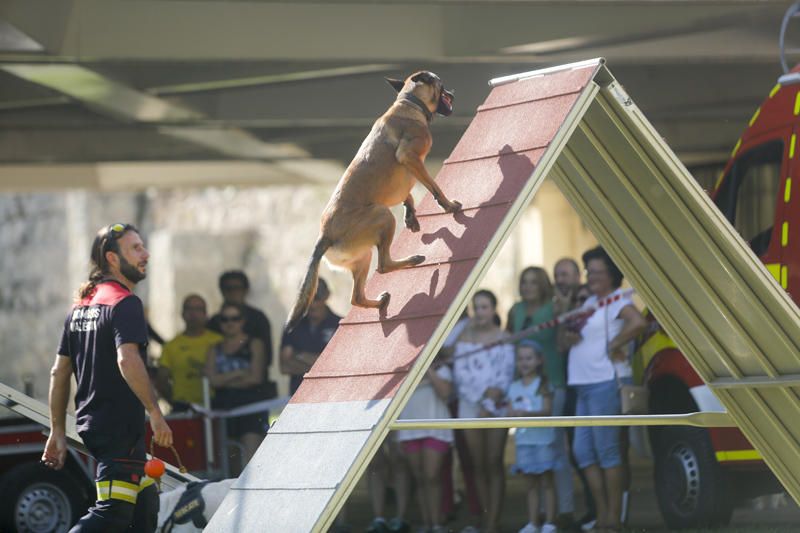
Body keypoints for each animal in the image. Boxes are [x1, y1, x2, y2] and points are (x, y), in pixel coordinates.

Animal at [288, 69, 462, 328]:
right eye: (440, 83)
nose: (453, 92)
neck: (409, 102)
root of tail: (324, 236)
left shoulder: (408, 174)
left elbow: (408, 196)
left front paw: (411, 216)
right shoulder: (409, 157)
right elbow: (434, 187)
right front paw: (448, 205)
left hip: (363, 255)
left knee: (357, 296)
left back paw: (380, 302)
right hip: (382, 215)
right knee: (383, 266)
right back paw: (414, 261)